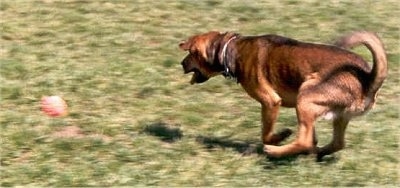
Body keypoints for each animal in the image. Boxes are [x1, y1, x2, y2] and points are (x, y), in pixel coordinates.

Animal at [180, 30, 386, 160]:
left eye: (191, 53)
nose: (181, 64)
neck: (230, 49)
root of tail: (368, 79)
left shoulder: (270, 102)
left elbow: (266, 133)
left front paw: (279, 137)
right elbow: (313, 136)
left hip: (305, 96)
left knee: (303, 141)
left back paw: (275, 151)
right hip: (337, 115)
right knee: (336, 143)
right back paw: (316, 153)